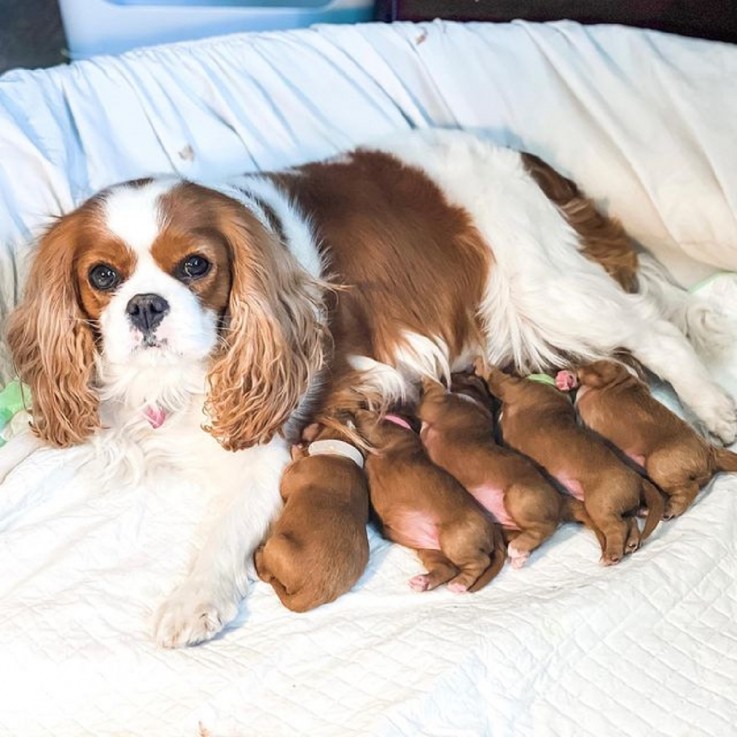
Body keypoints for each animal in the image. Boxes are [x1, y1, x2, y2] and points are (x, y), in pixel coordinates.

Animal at [352, 408, 506, 592]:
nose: (356, 411)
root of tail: (494, 529)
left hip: (455, 539)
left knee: (480, 562)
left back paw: (459, 584)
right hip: (429, 549)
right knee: (447, 568)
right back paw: (423, 581)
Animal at [416, 376, 596, 568]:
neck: (473, 398)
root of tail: (561, 500)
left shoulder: (437, 405)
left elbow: (434, 392)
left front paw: (427, 378)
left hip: (517, 496)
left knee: (545, 528)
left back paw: (517, 549)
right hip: (507, 524)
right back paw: (521, 554)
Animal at [474, 360, 664, 564]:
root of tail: (637, 478)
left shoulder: (510, 387)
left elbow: (495, 378)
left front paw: (480, 363)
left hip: (601, 503)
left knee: (617, 527)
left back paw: (611, 555)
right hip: (611, 507)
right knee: (629, 522)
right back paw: (630, 543)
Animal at [556, 360, 736, 516]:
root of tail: (710, 451)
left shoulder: (607, 372)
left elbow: (589, 371)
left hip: (657, 463)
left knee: (690, 488)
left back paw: (673, 509)